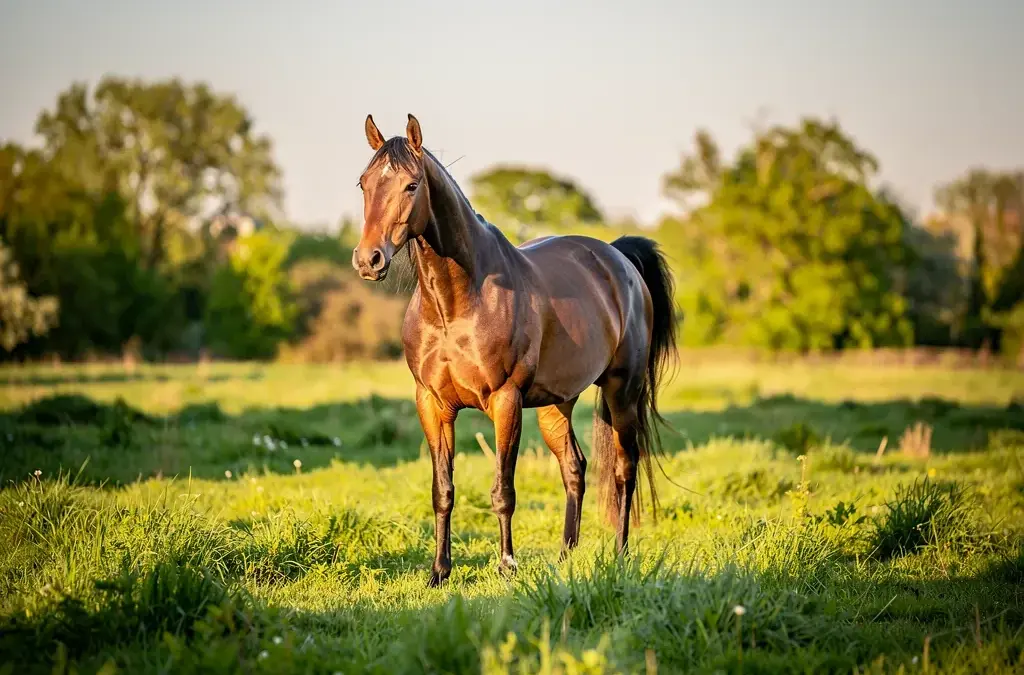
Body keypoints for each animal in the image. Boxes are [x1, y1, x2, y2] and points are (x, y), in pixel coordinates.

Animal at [352, 114, 678, 587]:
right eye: (363, 183)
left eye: (412, 185)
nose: (368, 260)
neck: (456, 302)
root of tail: (618, 258)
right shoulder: (432, 403)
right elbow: (442, 490)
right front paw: (439, 572)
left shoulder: (505, 401)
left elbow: (503, 490)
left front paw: (507, 565)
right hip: (556, 404)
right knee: (575, 467)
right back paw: (565, 556)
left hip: (623, 391)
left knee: (624, 469)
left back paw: (620, 554)